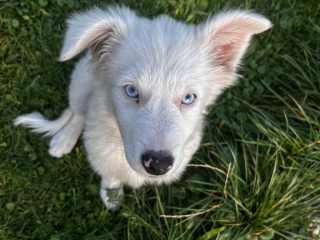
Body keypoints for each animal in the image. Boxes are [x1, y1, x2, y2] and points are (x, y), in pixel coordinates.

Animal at [14, 5, 270, 208]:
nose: (158, 165)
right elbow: (109, 173)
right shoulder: (100, 148)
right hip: (81, 80)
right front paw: (112, 196)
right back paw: (63, 140)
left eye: (188, 98)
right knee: (77, 112)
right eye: (131, 91)